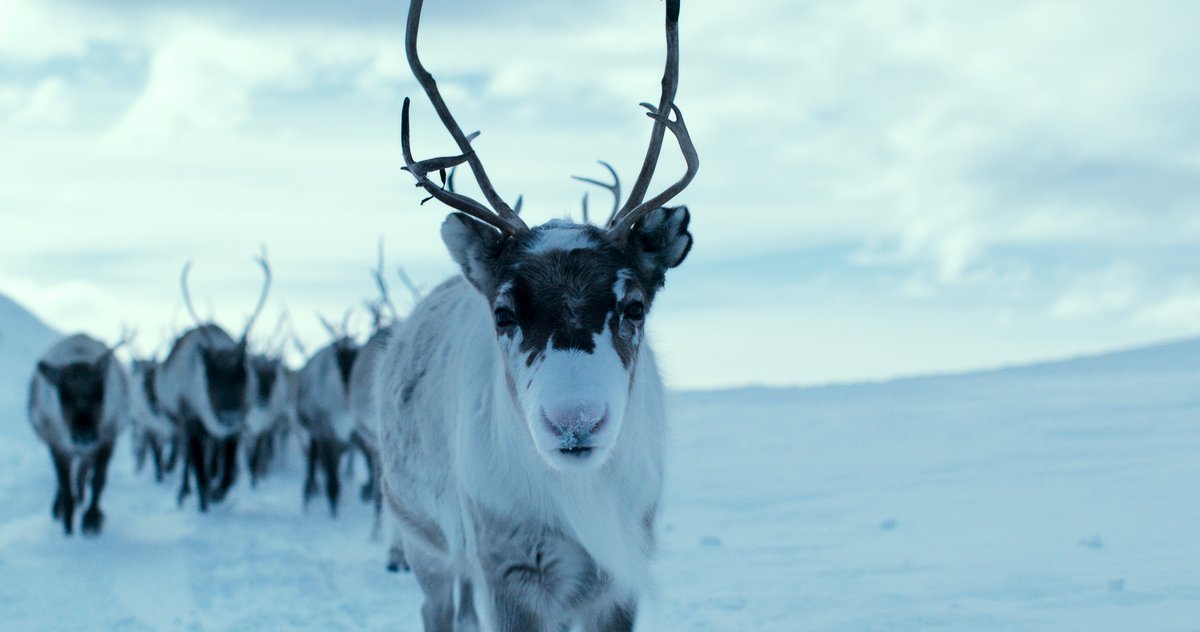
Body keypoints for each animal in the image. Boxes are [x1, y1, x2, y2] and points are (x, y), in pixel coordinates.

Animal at [28, 331, 132, 535]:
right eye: (65, 396)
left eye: (99, 393)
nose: (84, 435)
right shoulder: (57, 445)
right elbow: (65, 485)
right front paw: (68, 527)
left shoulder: (107, 439)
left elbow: (98, 481)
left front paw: (92, 520)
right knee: (67, 482)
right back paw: (60, 507)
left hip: (89, 450)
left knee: (83, 473)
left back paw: (81, 499)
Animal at [157, 253, 272, 512]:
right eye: (210, 376)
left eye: (243, 373)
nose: (229, 415)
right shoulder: (191, 420)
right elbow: (198, 468)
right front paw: (204, 501)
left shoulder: (235, 428)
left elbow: (227, 471)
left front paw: (218, 492)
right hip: (183, 422)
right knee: (190, 460)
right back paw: (184, 491)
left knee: (214, 460)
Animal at [375, 0, 698, 629]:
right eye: (503, 313)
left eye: (633, 305)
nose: (574, 423)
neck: (579, 500)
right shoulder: (507, 571)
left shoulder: (618, 575)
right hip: (426, 544)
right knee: (438, 607)